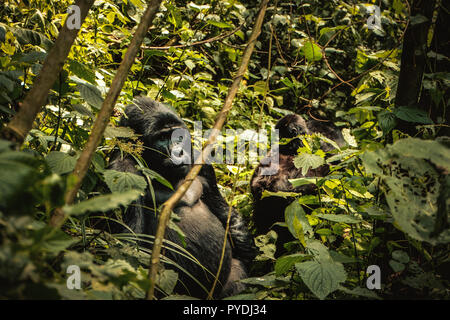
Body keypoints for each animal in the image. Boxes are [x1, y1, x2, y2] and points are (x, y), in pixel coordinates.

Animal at [107, 97, 255, 298]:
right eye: (162, 138)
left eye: (178, 136)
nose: (178, 151)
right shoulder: (121, 169)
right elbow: (129, 244)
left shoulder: (200, 160)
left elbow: (221, 208)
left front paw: (249, 252)